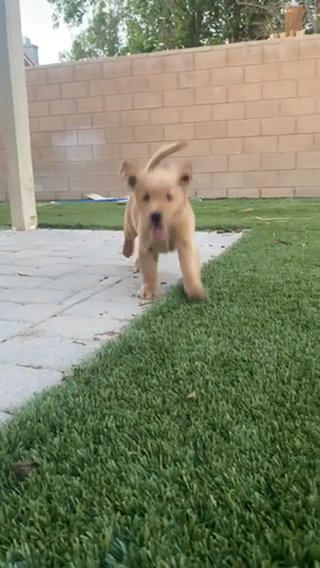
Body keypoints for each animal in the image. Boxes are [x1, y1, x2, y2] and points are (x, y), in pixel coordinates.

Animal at [121, 142, 206, 302]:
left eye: (169, 196)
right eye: (146, 197)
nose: (155, 216)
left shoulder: (186, 244)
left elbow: (190, 268)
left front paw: (195, 291)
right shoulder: (146, 246)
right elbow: (149, 271)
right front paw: (149, 289)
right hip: (130, 223)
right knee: (128, 236)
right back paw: (127, 251)